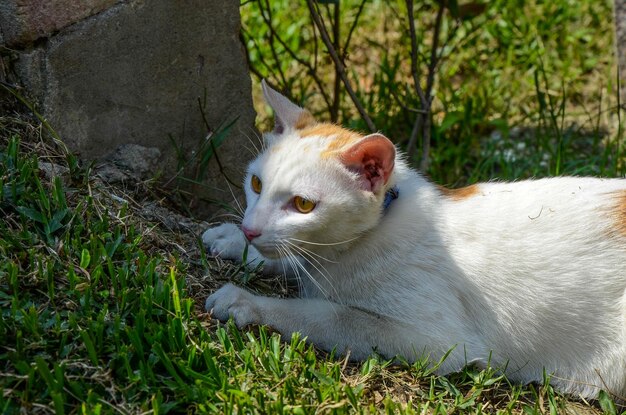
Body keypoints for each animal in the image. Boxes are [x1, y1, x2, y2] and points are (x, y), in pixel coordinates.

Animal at [202, 79, 620, 402]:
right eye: (256, 184)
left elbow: (329, 315)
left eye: (303, 205)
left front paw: (247, 302)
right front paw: (234, 241)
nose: (250, 228)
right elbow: (292, 260)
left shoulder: (436, 342)